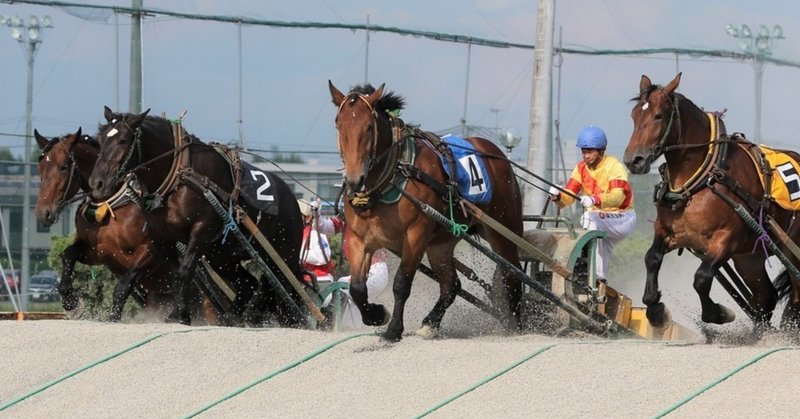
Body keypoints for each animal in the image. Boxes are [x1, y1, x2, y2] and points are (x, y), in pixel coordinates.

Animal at [34, 128, 210, 322]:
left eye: (63, 167)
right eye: (40, 168)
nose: (44, 213)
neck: (110, 204)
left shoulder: (151, 252)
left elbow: (123, 286)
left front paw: (113, 317)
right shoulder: (98, 252)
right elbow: (68, 254)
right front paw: (69, 299)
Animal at [86, 107, 306, 327]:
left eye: (123, 140)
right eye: (101, 139)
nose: (97, 183)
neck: (179, 177)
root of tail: (292, 200)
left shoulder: (201, 230)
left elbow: (184, 271)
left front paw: (179, 314)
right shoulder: (159, 238)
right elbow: (136, 278)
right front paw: (115, 316)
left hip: (283, 256)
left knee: (288, 291)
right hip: (222, 256)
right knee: (249, 284)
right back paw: (232, 317)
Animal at [328, 82, 524, 342]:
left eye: (369, 127)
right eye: (339, 126)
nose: (354, 180)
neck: (392, 177)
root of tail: (496, 154)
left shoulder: (415, 236)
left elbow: (401, 283)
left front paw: (394, 329)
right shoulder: (360, 240)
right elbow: (357, 288)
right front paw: (376, 315)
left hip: (504, 231)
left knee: (512, 275)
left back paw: (515, 323)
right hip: (441, 244)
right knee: (452, 285)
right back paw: (431, 322)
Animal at [623, 73, 800, 332]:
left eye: (658, 115)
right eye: (635, 115)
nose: (633, 160)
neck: (703, 178)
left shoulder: (726, 239)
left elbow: (702, 278)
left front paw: (719, 312)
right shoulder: (668, 231)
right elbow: (651, 258)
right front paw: (655, 310)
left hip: (789, 247)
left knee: (795, 293)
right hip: (749, 257)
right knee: (765, 297)